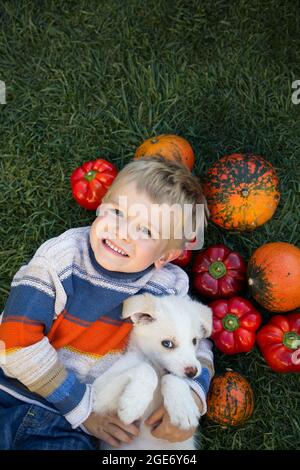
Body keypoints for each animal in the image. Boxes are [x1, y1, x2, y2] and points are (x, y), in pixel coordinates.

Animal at [92, 294, 212, 452]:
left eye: (194, 341)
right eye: (167, 343)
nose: (193, 372)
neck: (158, 369)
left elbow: (173, 377)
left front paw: (183, 407)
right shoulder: (98, 396)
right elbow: (146, 369)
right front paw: (133, 404)